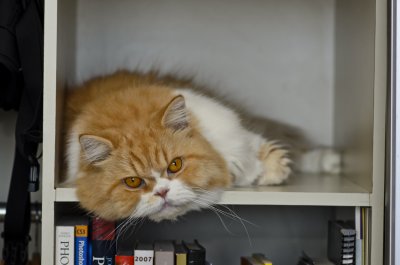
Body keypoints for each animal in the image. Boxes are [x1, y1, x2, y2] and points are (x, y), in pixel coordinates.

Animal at [64, 70, 340, 221]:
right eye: (133, 182)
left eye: (175, 165)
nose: (162, 192)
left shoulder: (232, 131)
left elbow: (258, 149)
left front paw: (272, 170)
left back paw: (331, 161)